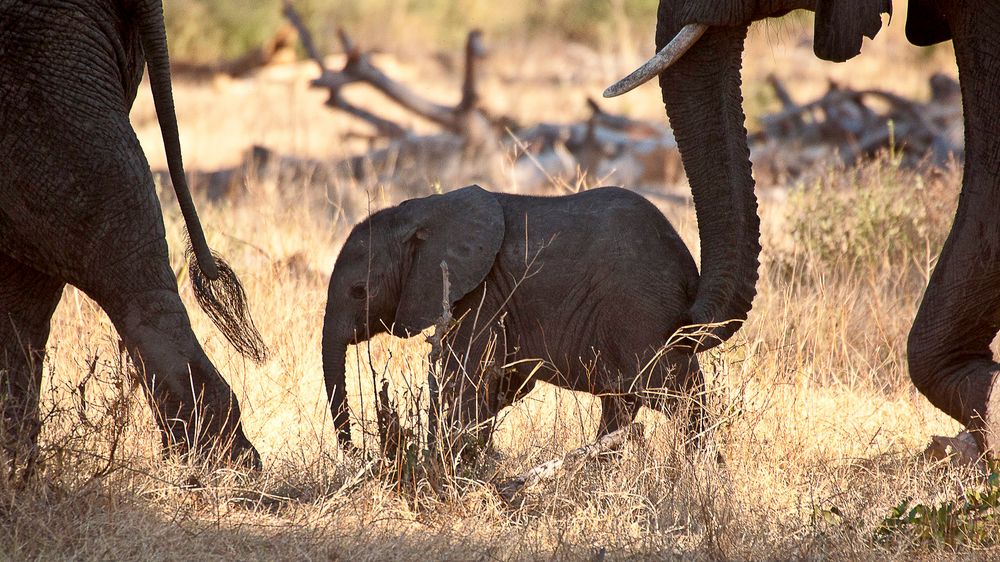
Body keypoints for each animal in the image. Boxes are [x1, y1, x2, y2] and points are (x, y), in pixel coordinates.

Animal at [324, 186, 708, 448]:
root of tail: (688, 268)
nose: (355, 448)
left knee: (678, 395)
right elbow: (502, 384)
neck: (419, 213)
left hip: (641, 313)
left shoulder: (482, 291)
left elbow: (467, 378)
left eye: (359, 291)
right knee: (625, 404)